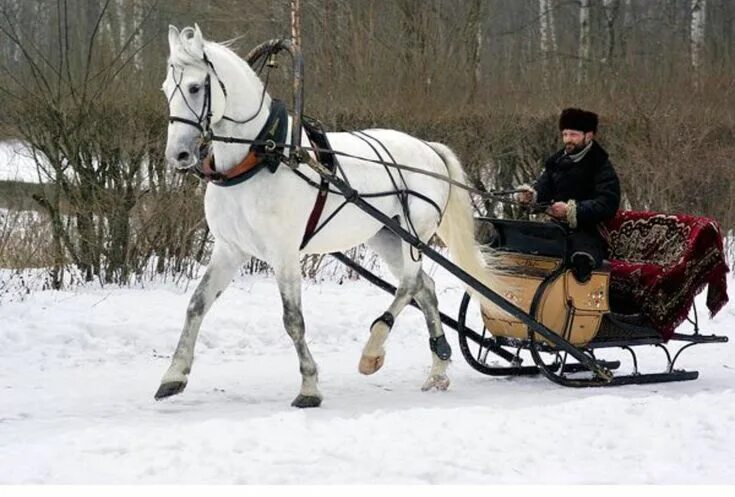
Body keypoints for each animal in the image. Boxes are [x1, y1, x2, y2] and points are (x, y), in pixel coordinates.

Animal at [158, 24, 504, 406]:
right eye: (166, 89)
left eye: (194, 87)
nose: (178, 154)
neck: (261, 156)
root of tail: (428, 148)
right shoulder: (230, 249)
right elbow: (196, 305)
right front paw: (173, 375)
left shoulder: (284, 253)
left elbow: (293, 319)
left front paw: (309, 386)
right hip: (387, 236)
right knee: (424, 287)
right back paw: (438, 368)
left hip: (415, 235)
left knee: (410, 284)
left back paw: (373, 349)